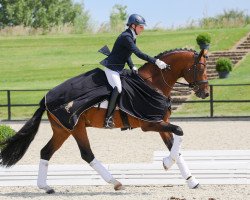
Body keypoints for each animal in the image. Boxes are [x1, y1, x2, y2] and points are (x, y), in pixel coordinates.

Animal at [0, 47, 209, 193]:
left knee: (46, 152)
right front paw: (166, 163)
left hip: (63, 130)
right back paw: (115, 182)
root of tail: (46, 98)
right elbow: (180, 131)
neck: (153, 84)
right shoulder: (150, 124)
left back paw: (46, 187)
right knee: (87, 154)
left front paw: (192, 181)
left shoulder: (160, 123)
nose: (205, 93)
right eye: (200, 68)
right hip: (76, 127)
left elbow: (176, 148)